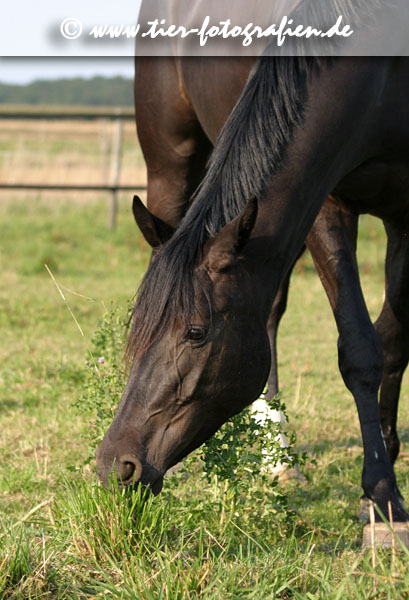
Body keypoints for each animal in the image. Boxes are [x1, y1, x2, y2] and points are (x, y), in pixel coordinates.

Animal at [96, 43, 409, 520]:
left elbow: (389, 345)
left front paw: (382, 494)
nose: (115, 464)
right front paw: (381, 492)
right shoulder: (328, 199)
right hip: (169, 165)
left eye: (196, 332)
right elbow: (361, 349)